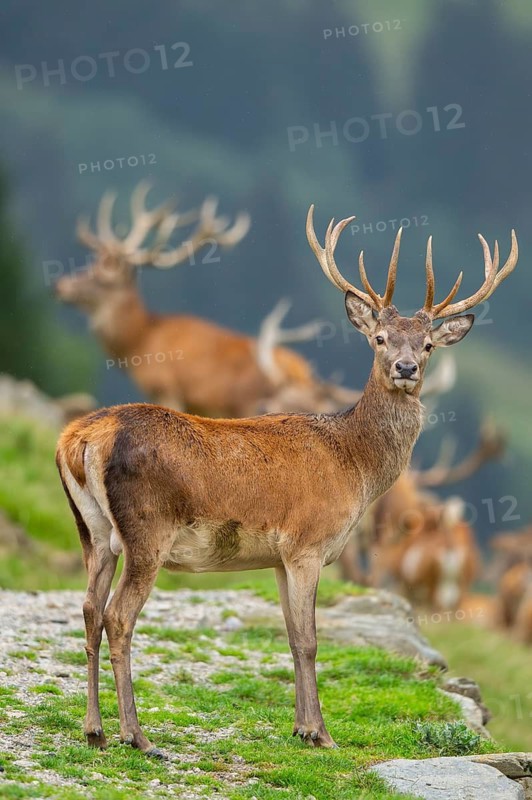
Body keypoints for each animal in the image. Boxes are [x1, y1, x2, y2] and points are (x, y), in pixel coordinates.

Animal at [55, 183, 357, 417]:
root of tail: (302, 371)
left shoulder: (167, 388)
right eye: (91, 263)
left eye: (102, 278)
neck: (140, 343)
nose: (60, 285)